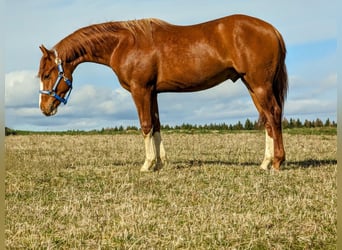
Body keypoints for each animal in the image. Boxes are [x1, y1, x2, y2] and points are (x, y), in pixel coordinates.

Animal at [38, 14, 288, 172]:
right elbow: (156, 125)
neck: (124, 43)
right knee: (267, 120)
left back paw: (277, 162)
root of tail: (272, 30)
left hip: (260, 85)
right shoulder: (153, 92)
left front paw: (147, 164)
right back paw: (265, 163)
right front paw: (160, 162)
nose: (44, 108)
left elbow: (145, 125)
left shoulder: (140, 90)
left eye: (48, 73)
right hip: (252, 86)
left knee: (274, 115)